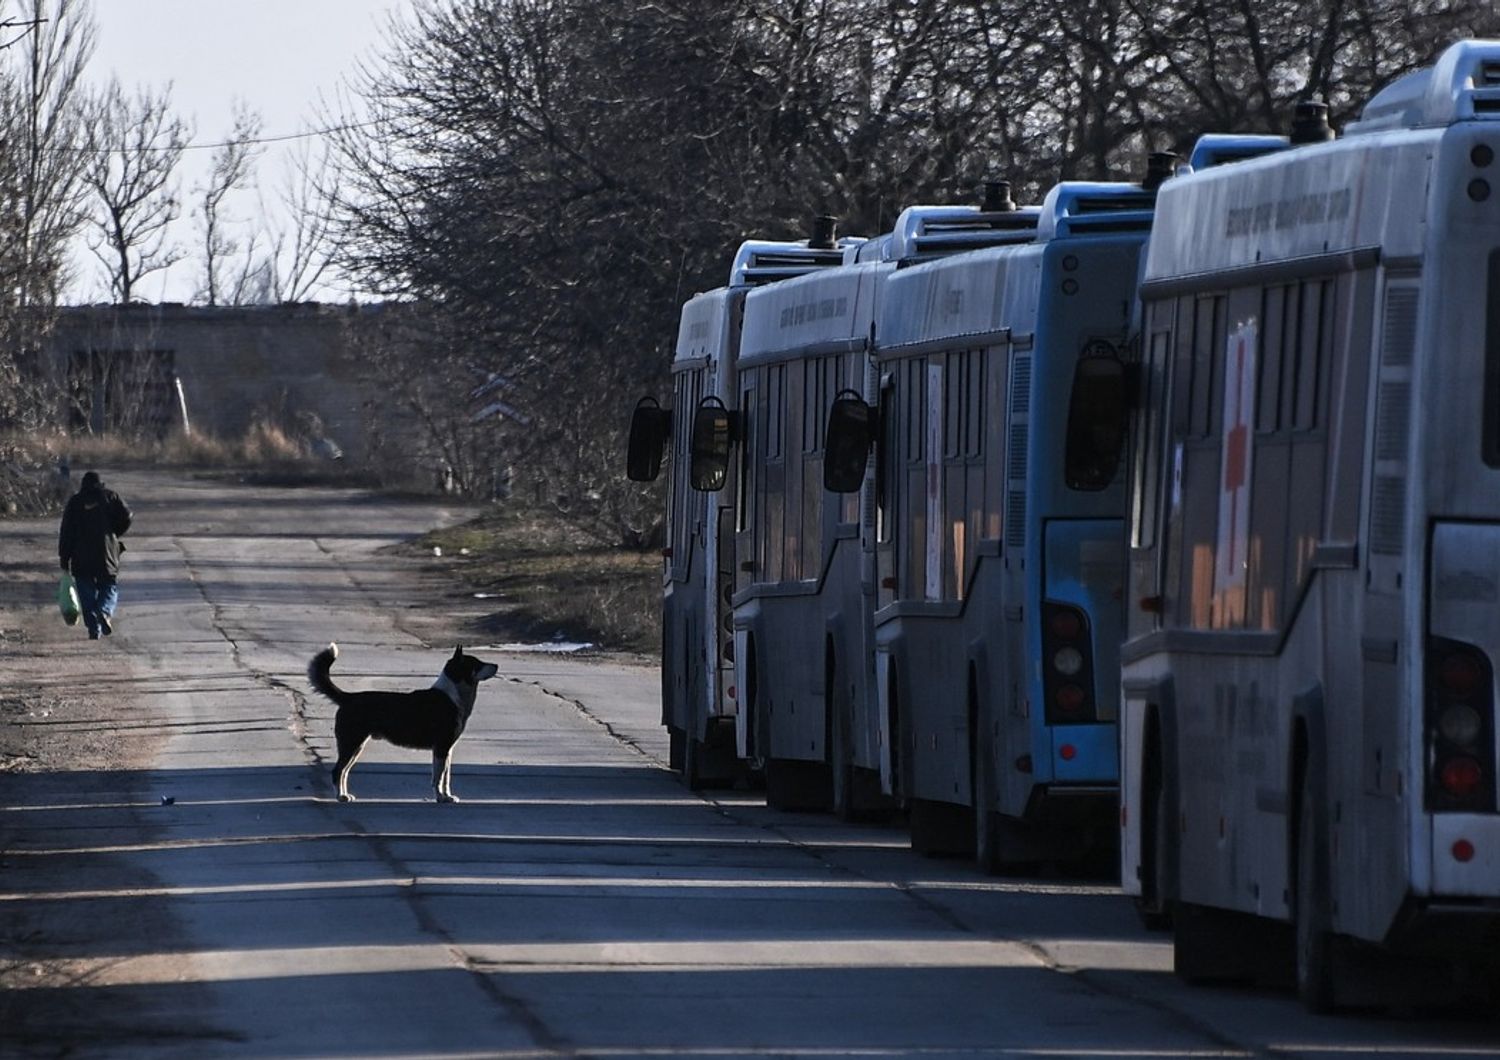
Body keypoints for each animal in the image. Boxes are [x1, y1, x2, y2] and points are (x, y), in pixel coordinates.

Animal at [307, 647, 501, 803]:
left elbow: (445, 777)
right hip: (351, 743)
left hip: (356, 747)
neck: (453, 694)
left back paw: (345, 795)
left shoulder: (447, 750)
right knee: (337, 771)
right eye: (476, 663)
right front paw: (440, 798)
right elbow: (438, 778)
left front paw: (447, 796)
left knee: (344, 772)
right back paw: (340, 797)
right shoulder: (441, 748)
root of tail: (348, 697)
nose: (497, 665)